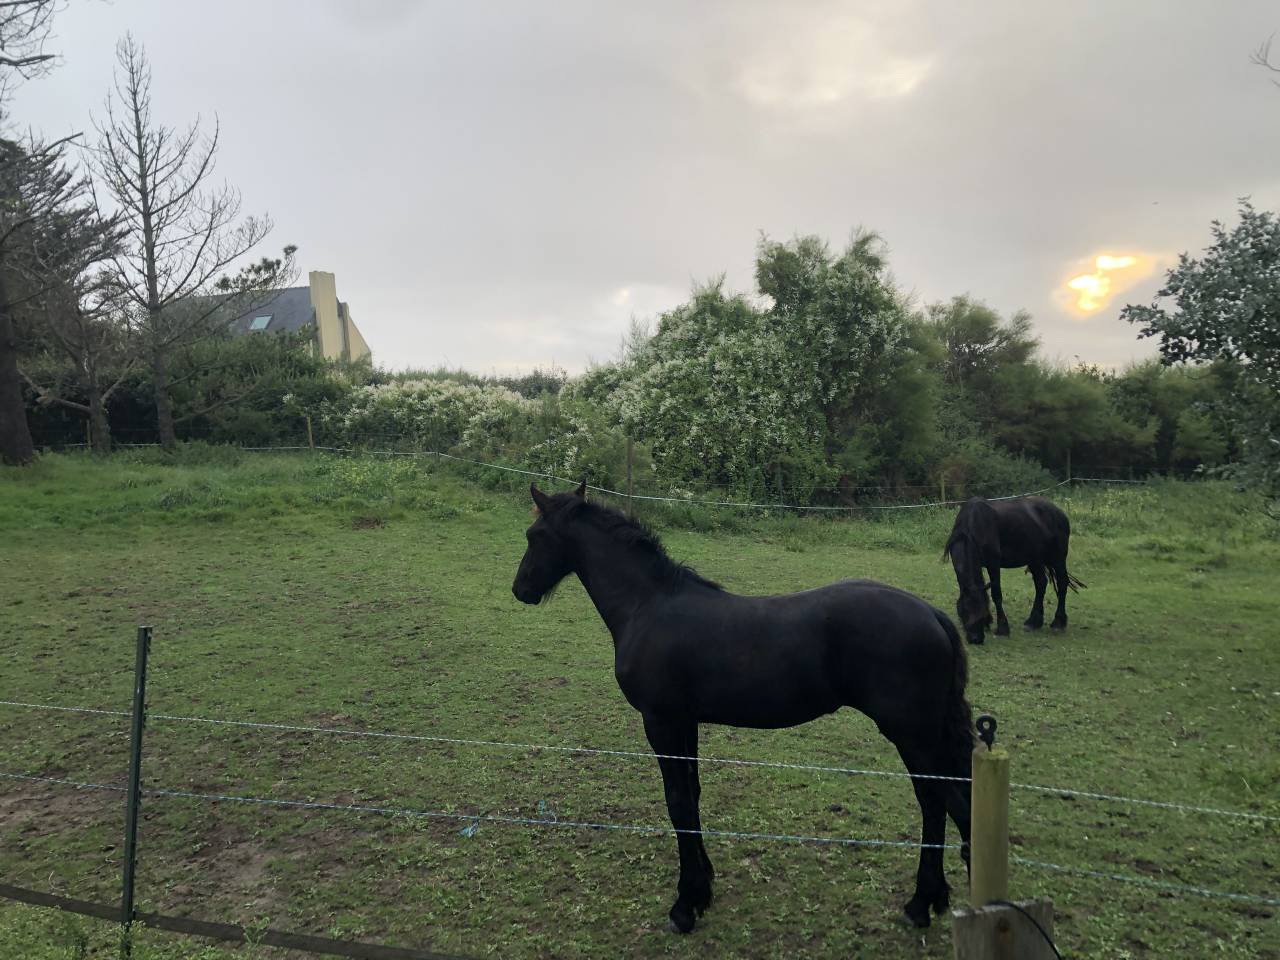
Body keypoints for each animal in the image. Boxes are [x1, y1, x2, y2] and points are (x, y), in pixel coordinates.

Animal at [512, 481, 975, 934]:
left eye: (534, 536)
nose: (521, 589)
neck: (647, 606)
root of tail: (933, 613)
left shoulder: (660, 721)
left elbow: (677, 801)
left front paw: (685, 905)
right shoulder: (685, 722)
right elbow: (692, 795)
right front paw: (704, 886)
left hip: (911, 734)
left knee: (939, 801)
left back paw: (921, 903)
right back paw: (932, 900)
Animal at [942, 495, 1084, 644]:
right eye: (963, 612)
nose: (976, 638)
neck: (972, 525)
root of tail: (1059, 513)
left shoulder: (993, 564)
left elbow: (996, 594)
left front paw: (1002, 628)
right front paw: (988, 622)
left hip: (1058, 558)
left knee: (1062, 583)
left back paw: (1058, 623)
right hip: (1035, 559)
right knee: (1041, 583)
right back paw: (1033, 622)